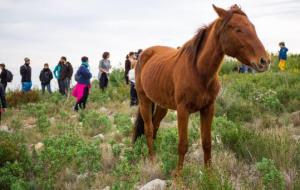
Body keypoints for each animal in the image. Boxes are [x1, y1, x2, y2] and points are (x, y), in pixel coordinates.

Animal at [134, 4, 270, 174]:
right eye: (237, 29)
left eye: (252, 27)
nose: (265, 61)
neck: (198, 71)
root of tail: (143, 54)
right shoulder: (183, 110)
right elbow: (183, 145)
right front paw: (178, 176)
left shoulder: (208, 108)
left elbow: (207, 142)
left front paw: (209, 175)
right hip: (144, 100)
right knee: (149, 129)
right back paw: (152, 159)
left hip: (161, 105)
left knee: (155, 126)